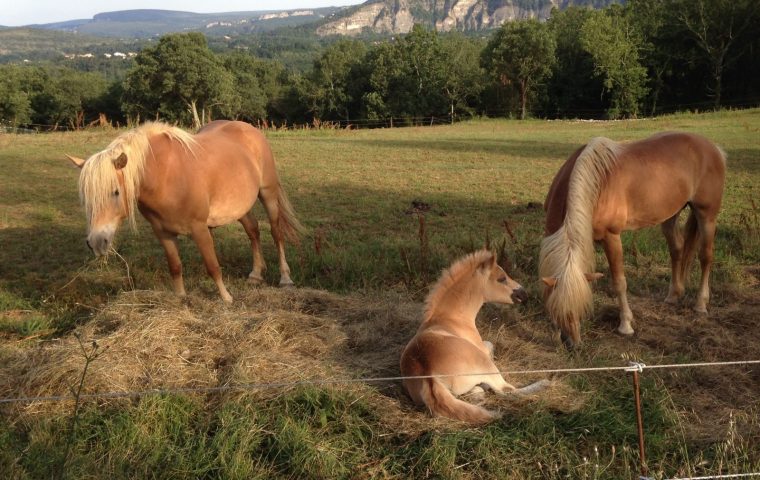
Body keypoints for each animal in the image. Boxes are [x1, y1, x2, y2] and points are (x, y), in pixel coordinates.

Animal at [66, 120, 302, 302]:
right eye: (85, 198)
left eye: (115, 192)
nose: (96, 242)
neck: (165, 175)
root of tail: (249, 128)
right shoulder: (163, 232)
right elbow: (175, 266)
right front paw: (181, 298)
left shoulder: (199, 228)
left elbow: (212, 266)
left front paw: (226, 298)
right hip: (239, 205)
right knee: (253, 231)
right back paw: (255, 274)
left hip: (268, 194)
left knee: (276, 233)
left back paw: (285, 279)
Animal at [398, 251, 548, 424]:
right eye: (501, 278)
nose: (524, 294)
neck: (451, 318)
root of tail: (430, 377)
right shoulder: (480, 347)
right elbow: (490, 345)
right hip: (484, 363)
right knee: (507, 390)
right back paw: (544, 383)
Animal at [540, 131, 724, 348]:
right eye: (558, 307)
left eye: (581, 306)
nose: (573, 343)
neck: (596, 185)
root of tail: (713, 148)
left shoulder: (611, 237)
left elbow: (619, 282)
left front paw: (626, 325)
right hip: (671, 215)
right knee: (677, 249)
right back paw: (673, 295)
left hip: (707, 215)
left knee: (706, 256)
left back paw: (701, 304)